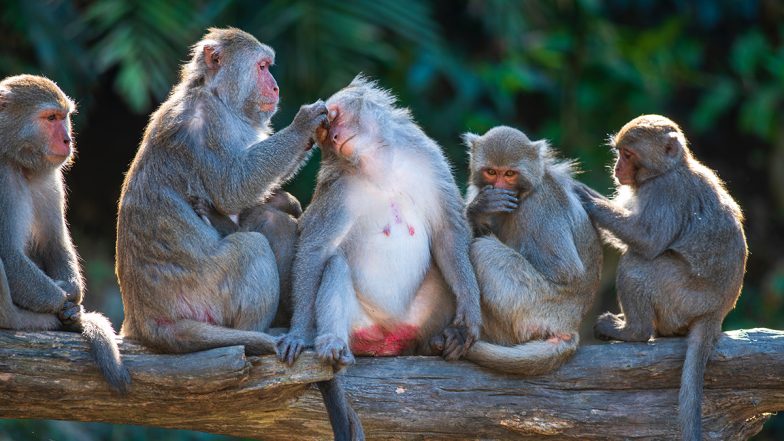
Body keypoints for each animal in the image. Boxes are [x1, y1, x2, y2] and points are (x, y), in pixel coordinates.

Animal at [0, 73, 130, 392]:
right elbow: (9, 254)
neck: (17, 162)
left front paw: (71, 297)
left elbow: (54, 245)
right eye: (50, 118)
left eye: (64, 117)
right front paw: (64, 304)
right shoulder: (2, 180)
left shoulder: (51, 180)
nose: (68, 139)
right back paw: (21, 321)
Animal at [276, 74, 484, 366]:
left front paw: (469, 316)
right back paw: (333, 344)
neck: (379, 169)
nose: (335, 137)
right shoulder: (340, 190)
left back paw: (436, 342)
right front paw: (299, 333)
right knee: (336, 266)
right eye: (325, 132)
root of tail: (388, 339)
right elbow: (316, 249)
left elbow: (448, 234)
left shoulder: (429, 160)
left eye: (335, 118)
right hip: (360, 323)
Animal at [456, 126, 604, 374]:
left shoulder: (539, 207)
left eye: (509, 174)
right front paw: (479, 208)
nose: (499, 188)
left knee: (483, 251)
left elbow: (564, 270)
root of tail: (569, 326)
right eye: (491, 172)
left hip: (534, 305)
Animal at [576, 114, 748, 440]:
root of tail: (718, 311)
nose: (617, 169)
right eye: (618, 153)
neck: (669, 169)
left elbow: (647, 241)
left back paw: (634, 331)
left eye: (628, 154)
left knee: (638, 264)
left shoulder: (665, 192)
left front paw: (583, 197)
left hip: (686, 298)